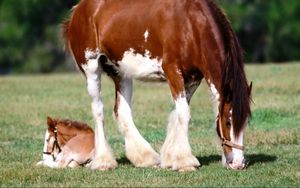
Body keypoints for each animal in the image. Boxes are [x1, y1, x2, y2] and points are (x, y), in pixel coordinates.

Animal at [63, 0, 253, 171]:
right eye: (228, 122)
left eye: (246, 122)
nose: (238, 163)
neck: (191, 25)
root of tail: (77, 10)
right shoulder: (172, 72)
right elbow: (184, 114)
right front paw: (185, 162)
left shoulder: (193, 79)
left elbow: (178, 113)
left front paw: (170, 158)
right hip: (92, 69)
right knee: (98, 110)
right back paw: (103, 161)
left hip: (121, 73)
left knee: (121, 111)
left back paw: (145, 157)